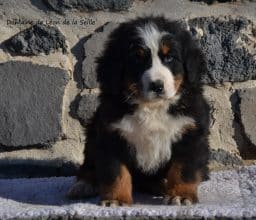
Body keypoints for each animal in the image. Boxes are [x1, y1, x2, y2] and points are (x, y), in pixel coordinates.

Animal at [68, 15, 210, 206]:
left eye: (169, 58)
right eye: (138, 59)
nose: (157, 85)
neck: (152, 107)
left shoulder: (190, 133)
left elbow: (184, 170)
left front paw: (181, 195)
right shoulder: (111, 135)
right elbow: (116, 173)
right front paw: (115, 199)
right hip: (92, 133)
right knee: (89, 164)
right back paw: (83, 185)